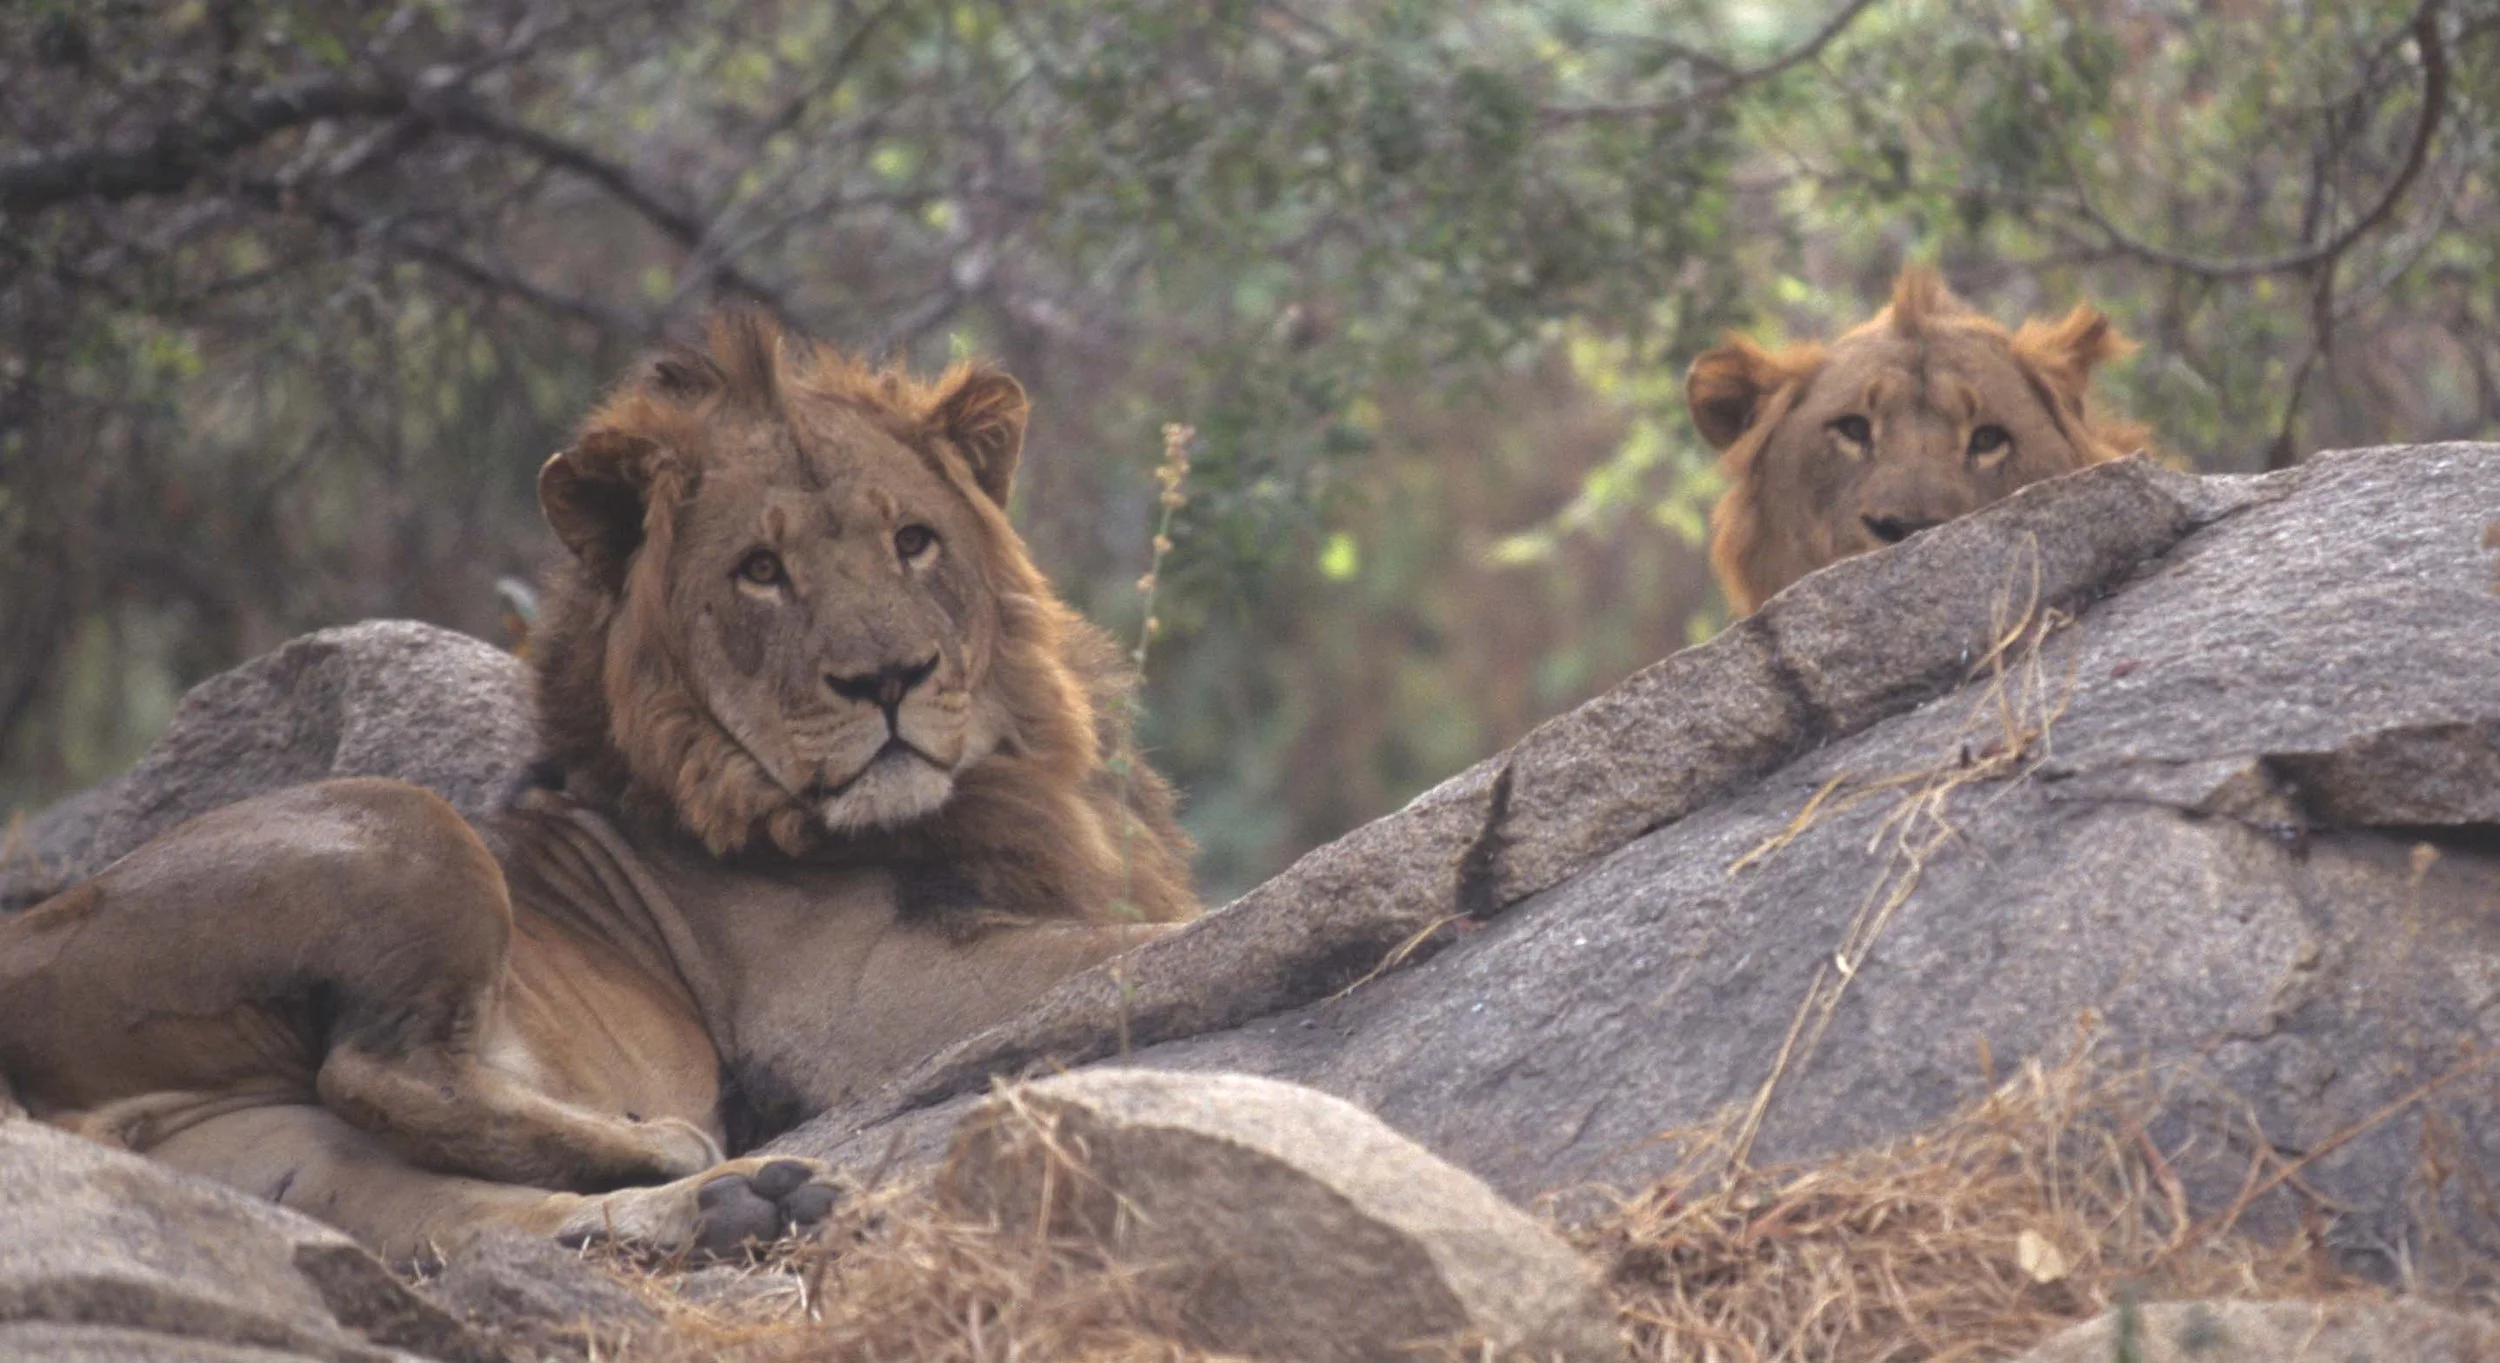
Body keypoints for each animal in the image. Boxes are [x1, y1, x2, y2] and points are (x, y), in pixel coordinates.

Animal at [0, 311, 1197, 1265]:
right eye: (760, 572)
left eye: (914, 541)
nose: (888, 679)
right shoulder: (862, 1000)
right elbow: (1130, 953)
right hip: (401, 820)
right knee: (378, 1069)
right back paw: (680, 1151)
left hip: (254, 1146)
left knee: (453, 1214)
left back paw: (740, 1203)